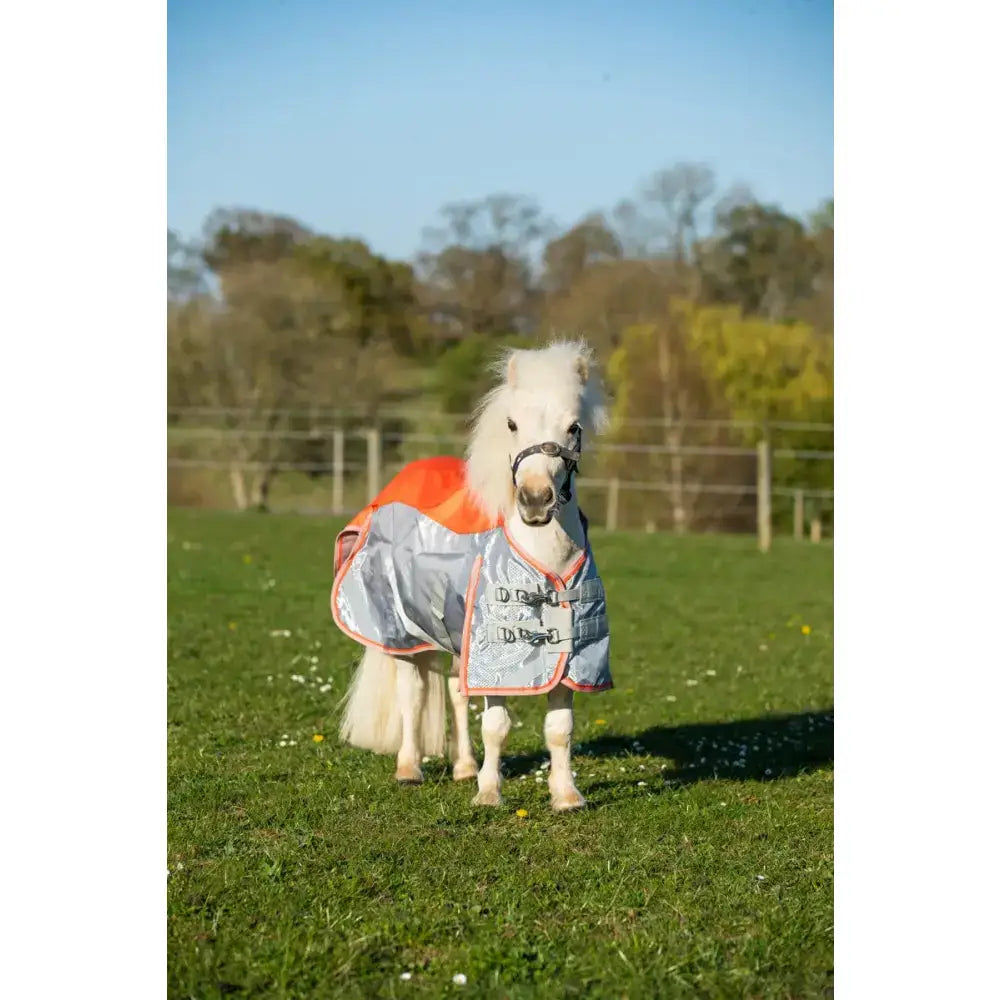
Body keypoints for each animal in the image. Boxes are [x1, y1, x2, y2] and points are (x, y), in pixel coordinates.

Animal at [332, 341, 610, 812]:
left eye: (573, 427)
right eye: (512, 424)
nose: (535, 501)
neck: (544, 557)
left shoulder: (569, 656)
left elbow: (559, 729)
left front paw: (566, 795)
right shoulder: (492, 650)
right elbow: (496, 724)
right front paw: (489, 793)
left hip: (452, 633)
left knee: (456, 694)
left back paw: (463, 767)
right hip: (405, 635)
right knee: (413, 696)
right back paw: (409, 770)